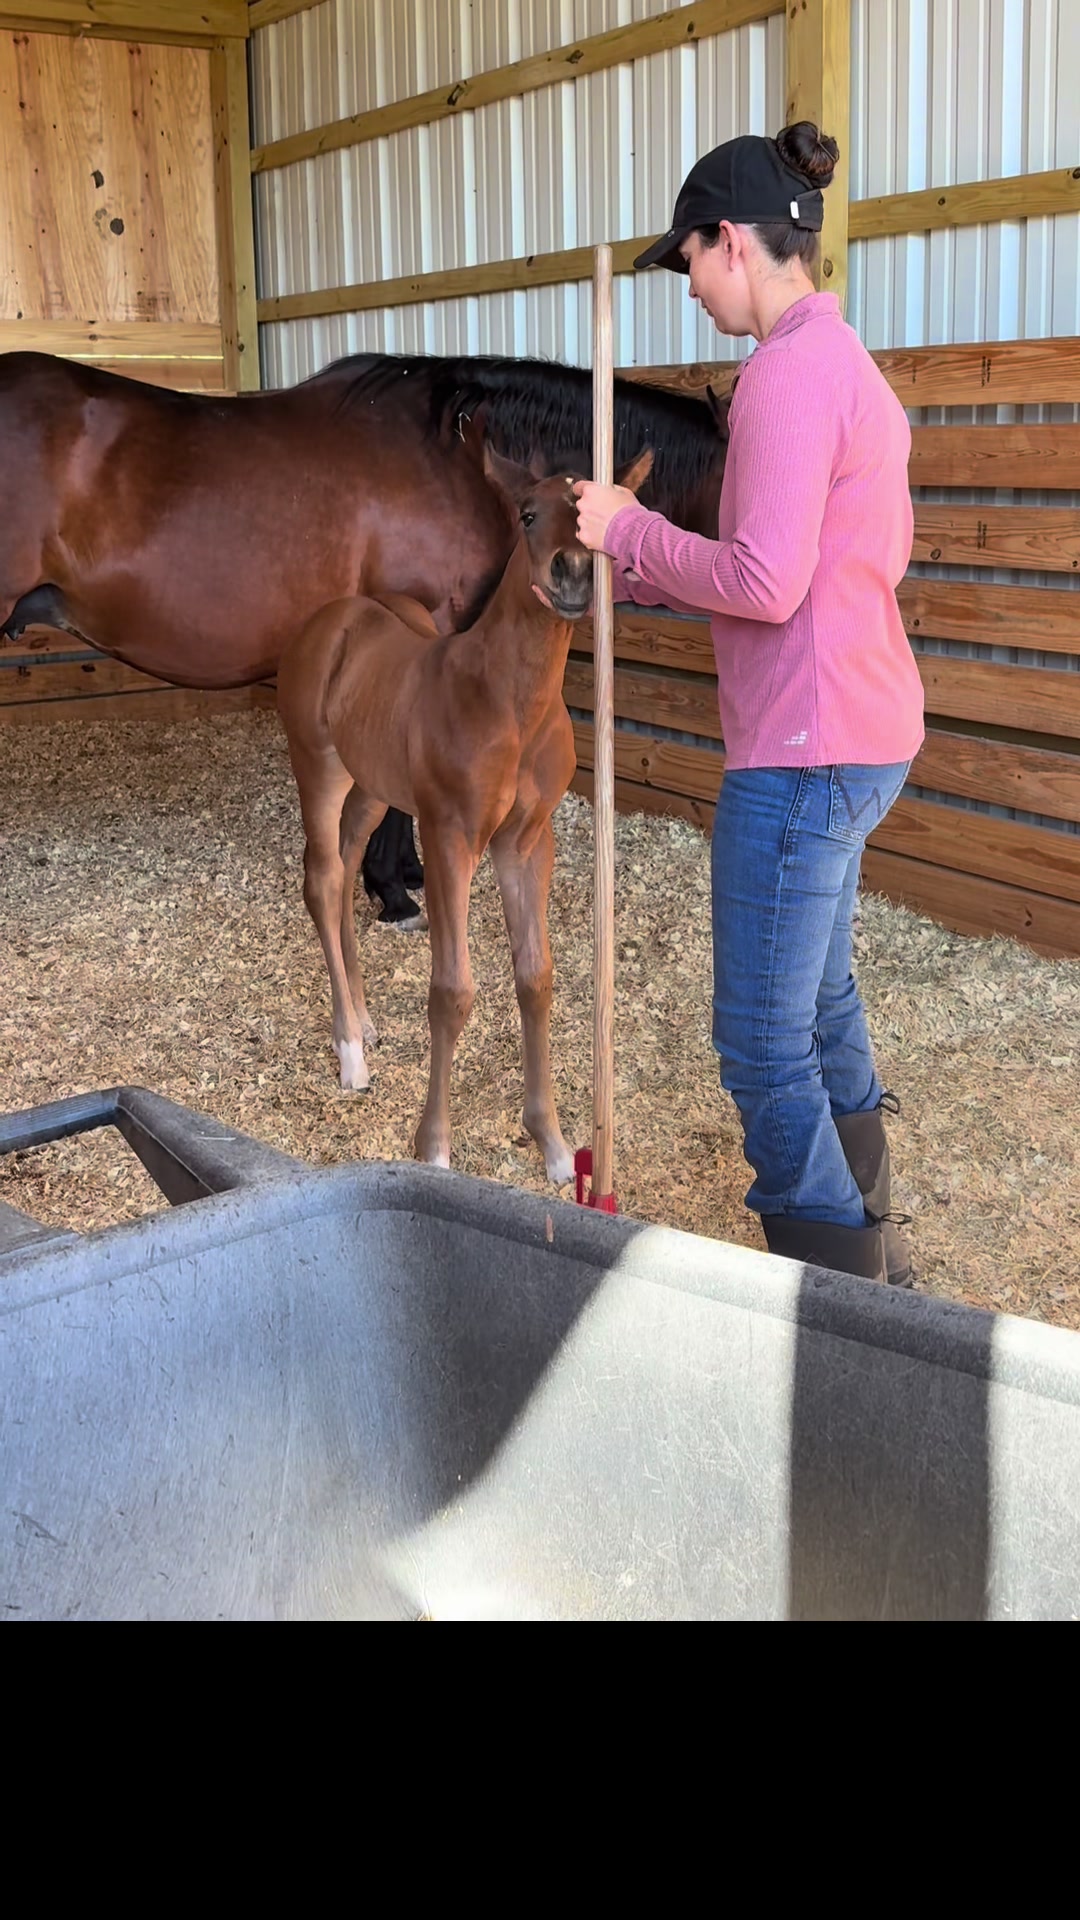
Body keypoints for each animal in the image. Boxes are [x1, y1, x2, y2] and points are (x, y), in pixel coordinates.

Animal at [276, 410, 653, 1178]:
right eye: (527, 513)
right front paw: (435, 1150)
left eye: (596, 520)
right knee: (322, 879)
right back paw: (350, 1053)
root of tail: (332, 619)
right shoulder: (448, 834)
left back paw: (362, 1022)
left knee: (345, 870)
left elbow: (535, 978)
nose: (571, 575)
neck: (511, 703)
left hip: (372, 786)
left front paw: (553, 1144)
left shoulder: (526, 841)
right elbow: (452, 992)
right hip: (319, 766)